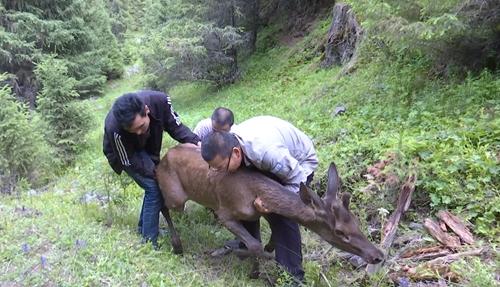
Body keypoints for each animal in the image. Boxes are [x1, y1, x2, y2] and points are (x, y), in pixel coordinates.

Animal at [155, 146, 382, 270]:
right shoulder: (224, 212)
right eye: (340, 232)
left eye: (356, 221)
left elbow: (264, 239)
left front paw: (250, 260)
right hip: (176, 196)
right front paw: (250, 261)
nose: (378, 255)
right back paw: (177, 245)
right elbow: (255, 245)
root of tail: (162, 159)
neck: (251, 192)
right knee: (163, 204)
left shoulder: (254, 213)